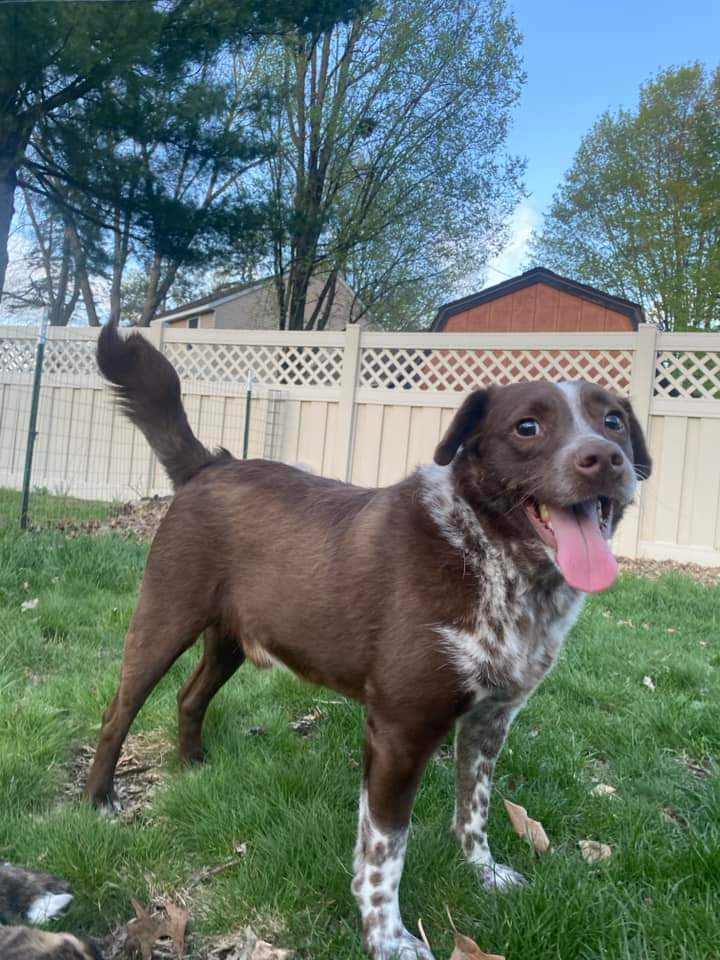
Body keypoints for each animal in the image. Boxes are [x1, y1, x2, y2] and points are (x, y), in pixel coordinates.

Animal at [86, 324, 652, 960]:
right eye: (526, 427)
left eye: (613, 421)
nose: (606, 459)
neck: (490, 558)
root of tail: (208, 465)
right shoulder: (399, 731)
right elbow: (386, 850)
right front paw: (387, 937)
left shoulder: (490, 720)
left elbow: (474, 808)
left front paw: (483, 872)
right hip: (163, 621)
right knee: (117, 711)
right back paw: (100, 800)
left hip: (229, 640)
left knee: (190, 696)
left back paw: (194, 766)